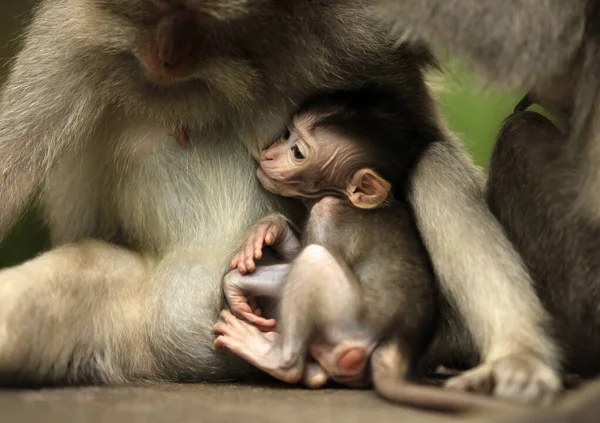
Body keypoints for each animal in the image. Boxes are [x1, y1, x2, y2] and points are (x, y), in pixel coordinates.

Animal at [0, 0, 556, 404]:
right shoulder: (72, 37)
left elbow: (417, 141)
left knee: (432, 164)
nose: (167, 54)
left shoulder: (359, 32)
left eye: (200, 18)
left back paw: (514, 353)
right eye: (151, 11)